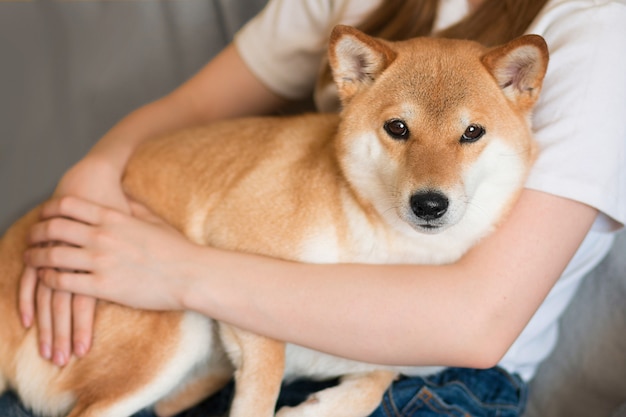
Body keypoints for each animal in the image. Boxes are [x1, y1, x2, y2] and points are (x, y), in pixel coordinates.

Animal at [0, 25, 544, 416]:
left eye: (472, 132)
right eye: (397, 128)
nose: (429, 204)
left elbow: (376, 379)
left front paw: (320, 407)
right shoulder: (235, 258)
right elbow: (267, 380)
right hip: (175, 327)